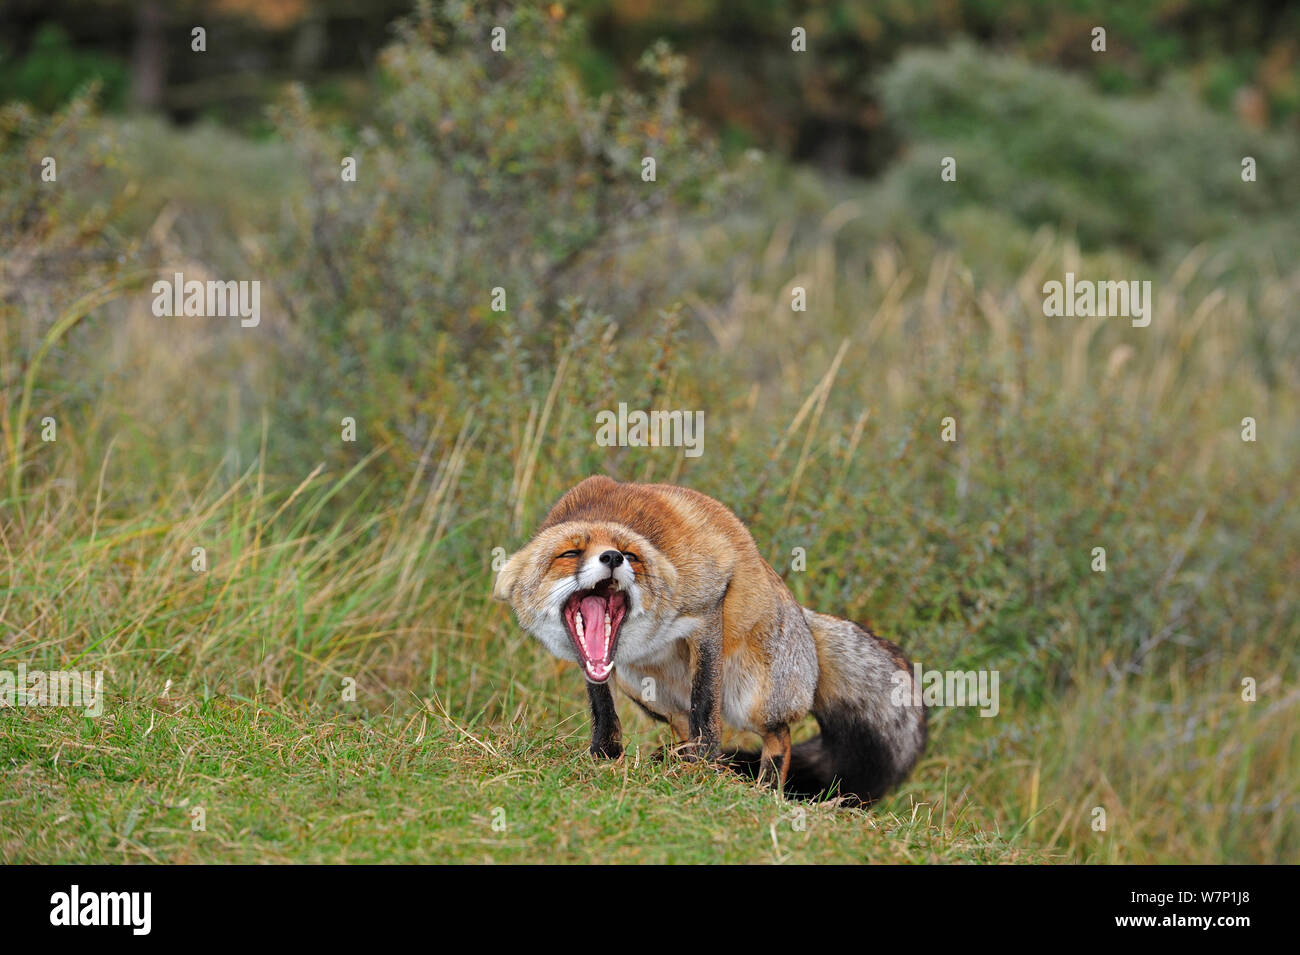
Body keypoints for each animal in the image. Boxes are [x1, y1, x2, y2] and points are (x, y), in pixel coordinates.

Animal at [492, 475, 926, 804]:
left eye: (630, 556)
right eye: (570, 553)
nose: (612, 558)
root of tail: (803, 618)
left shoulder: (707, 609)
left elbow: (705, 701)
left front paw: (702, 759)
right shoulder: (600, 665)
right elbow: (603, 707)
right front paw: (606, 755)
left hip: (754, 698)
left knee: (779, 737)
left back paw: (762, 789)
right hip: (645, 691)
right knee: (682, 724)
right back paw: (682, 763)